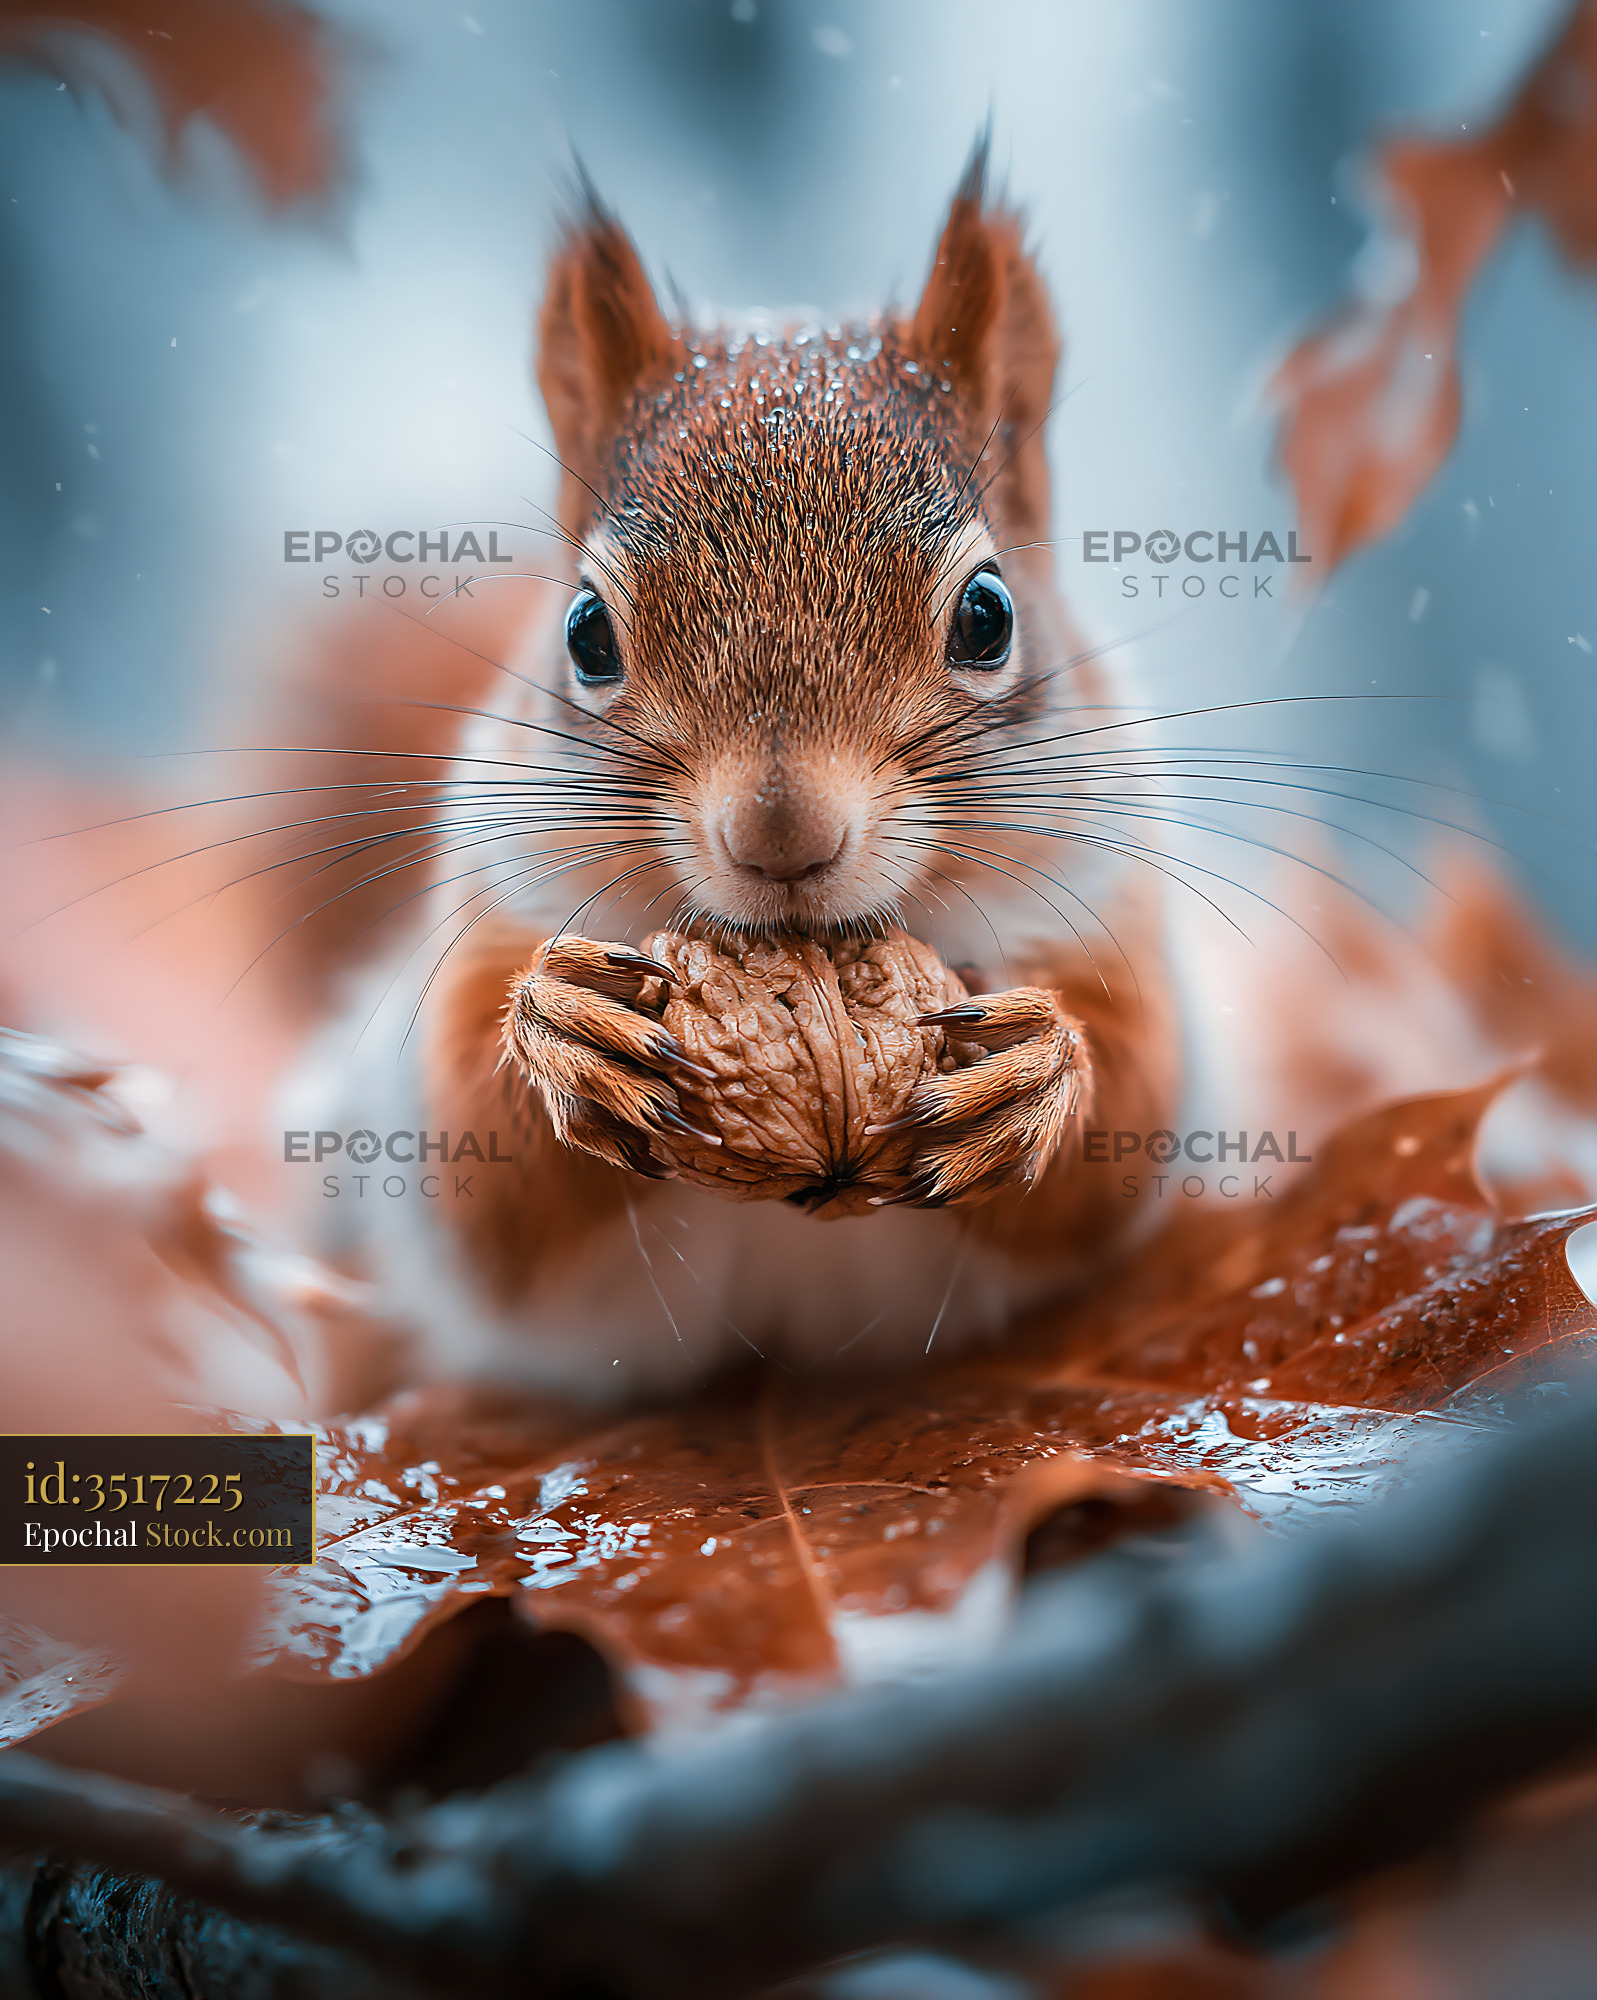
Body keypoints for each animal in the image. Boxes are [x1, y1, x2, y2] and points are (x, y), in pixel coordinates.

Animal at [311, 148, 1178, 1399]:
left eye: (989, 614)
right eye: (584, 632)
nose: (781, 834)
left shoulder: (1113, 911)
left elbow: (1123, 1145)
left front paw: (1038, 1071)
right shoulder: (491, 910)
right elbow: (485, 1198)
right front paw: (562, 1029)